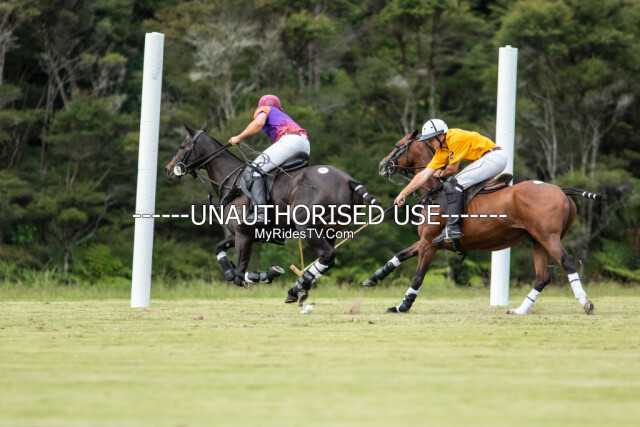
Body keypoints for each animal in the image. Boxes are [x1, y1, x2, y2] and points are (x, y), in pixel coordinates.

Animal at [165, 123, 380, 304]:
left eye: (183, 146)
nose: (168, 170)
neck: (231, 180)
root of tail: (349, 180)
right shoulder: (243, 234)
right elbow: (220, 250)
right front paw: (234, 271)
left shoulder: (243, 235)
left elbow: (239, 275)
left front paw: (268, 274)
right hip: (330, 229)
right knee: (328, 259)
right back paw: (297, 290)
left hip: (306, 226)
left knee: (327, 255)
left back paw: (297, 289)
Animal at [366, 130, 602, 315]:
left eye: (397, 146)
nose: (382, 165)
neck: (434, 191)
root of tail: (561, 190)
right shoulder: (430, 241)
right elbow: (401, 254)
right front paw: (375, 277)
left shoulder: (428, 243)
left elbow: (418, 276)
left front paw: (402, 306)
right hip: (537, 240)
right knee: (542, 277)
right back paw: (520, 310)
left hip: (548, 236)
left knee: (567, 261)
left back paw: (585, 303)